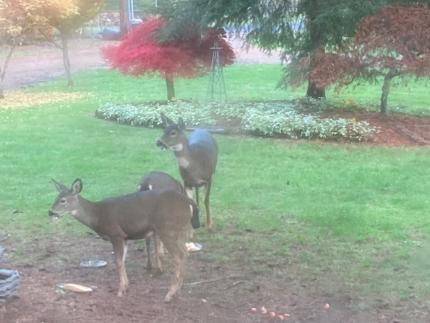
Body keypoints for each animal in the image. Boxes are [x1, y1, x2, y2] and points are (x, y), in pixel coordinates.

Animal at [48, 178, 200, 302]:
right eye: (56, 197)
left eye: (63, 200)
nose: (50, 212)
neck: (97, 216)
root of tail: (189, 202)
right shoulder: (125, 237)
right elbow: (123, 260)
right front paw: (126, 287)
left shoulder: (116, 234)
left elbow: (118, 262)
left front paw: (120, 291)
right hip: (178, 231)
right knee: (185, 253)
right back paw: (178, 291)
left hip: (167, 229)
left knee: (179, 256)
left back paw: (170, 294)